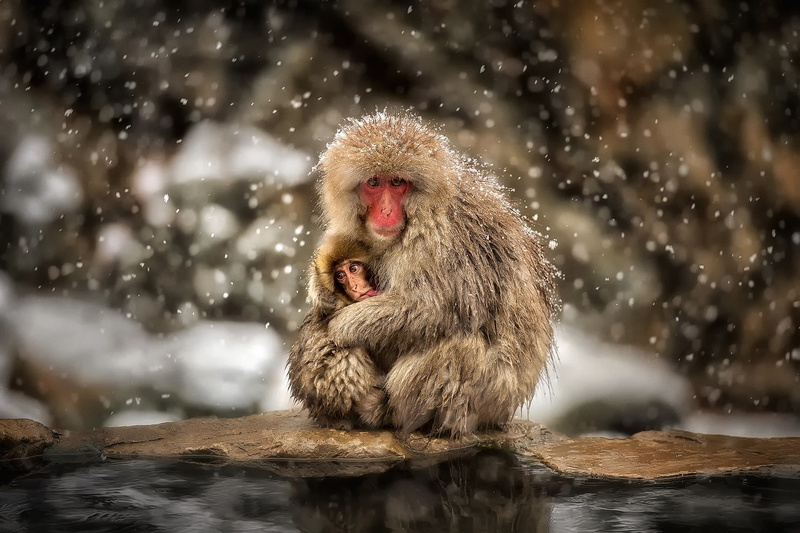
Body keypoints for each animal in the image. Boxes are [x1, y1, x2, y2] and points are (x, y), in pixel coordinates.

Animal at [288, 111, 559, 439]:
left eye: (397, 182)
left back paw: (387, 413)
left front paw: (343, 326)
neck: (423, 213)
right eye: (374, 183)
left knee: (459, 349)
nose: (386, 211)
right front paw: (322, 292)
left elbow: (431, 309)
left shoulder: (444, 242)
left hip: (490, 397)